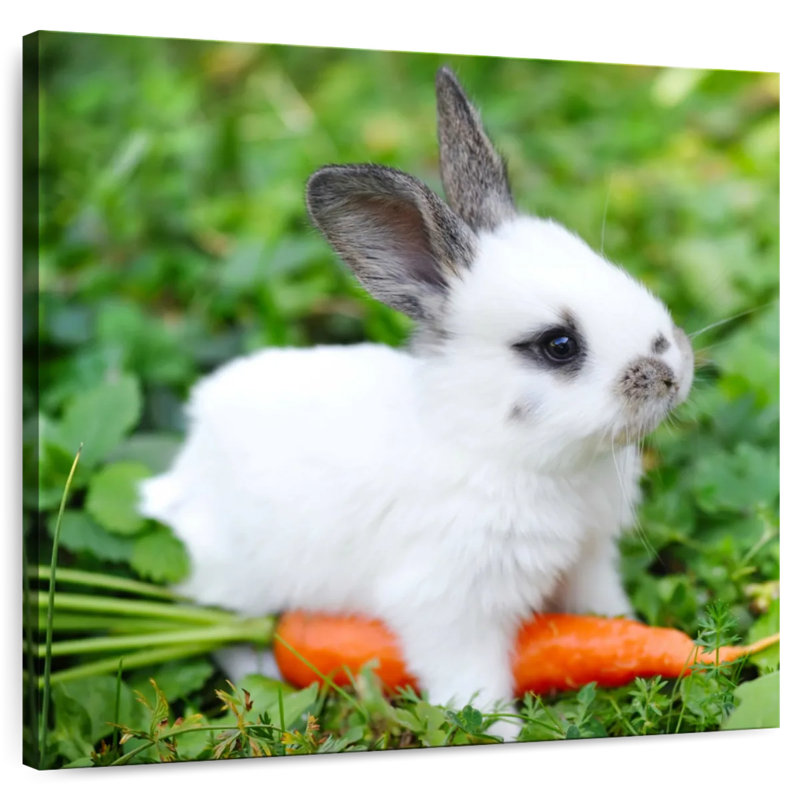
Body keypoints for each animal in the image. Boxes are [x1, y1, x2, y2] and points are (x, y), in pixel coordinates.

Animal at [139, 66, 694, 740]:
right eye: (559, 345)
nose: (672, 371)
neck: (506, 452)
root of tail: (183, 475)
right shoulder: (451, 608)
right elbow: (475, 684)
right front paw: (501, 734)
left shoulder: (588, 559)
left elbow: (603, 615)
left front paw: (635, 637)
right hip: (238, 586)